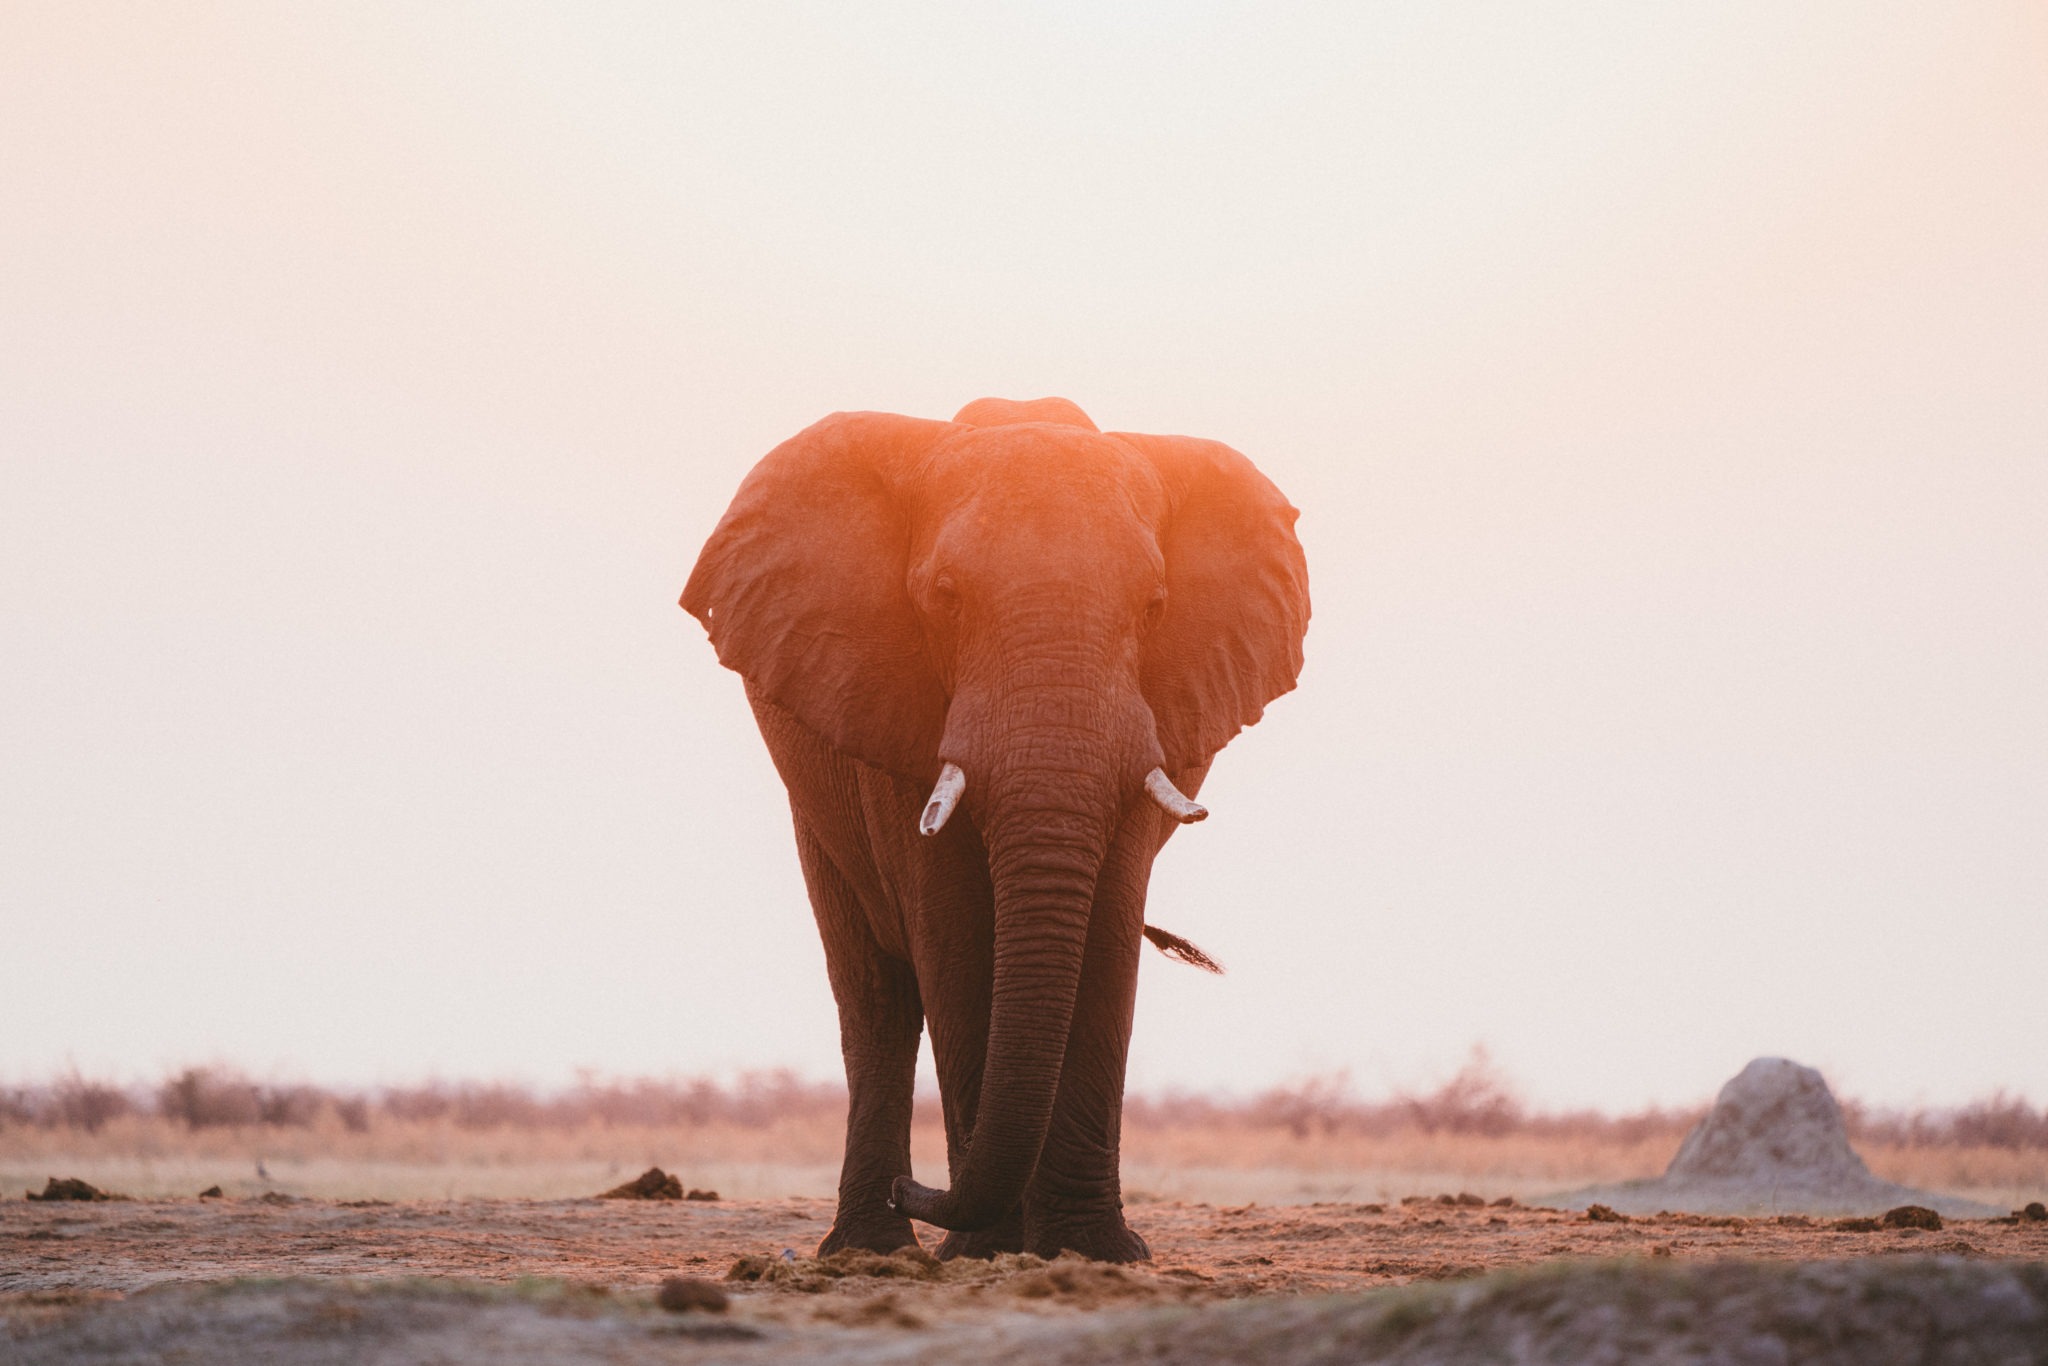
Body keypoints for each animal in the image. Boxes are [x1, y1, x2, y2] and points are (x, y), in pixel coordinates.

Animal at [681, 396, 1308, 1262]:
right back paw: (872, 1249)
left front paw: (1097, 1251)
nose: (914, 1188)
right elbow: (953, 934)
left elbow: (1108, 932)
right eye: (944, 595)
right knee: (875, 996)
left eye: (1154, 605)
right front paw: (986, 1252)